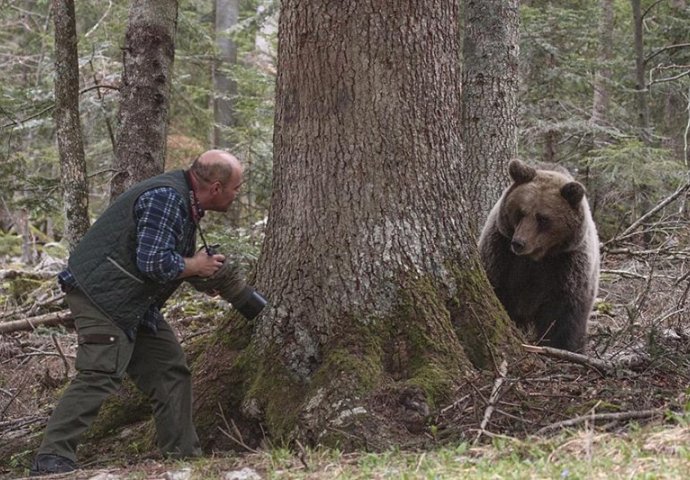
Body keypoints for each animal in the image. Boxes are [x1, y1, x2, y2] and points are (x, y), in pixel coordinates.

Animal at [478, 159, 596, 350]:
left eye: (543, 218)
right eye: (520, 212)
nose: (519, 243)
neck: (536, 257)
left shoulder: (567, 268)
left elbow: (563, 319)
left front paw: (562, 346)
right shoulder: (501, 254)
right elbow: (499, 291)